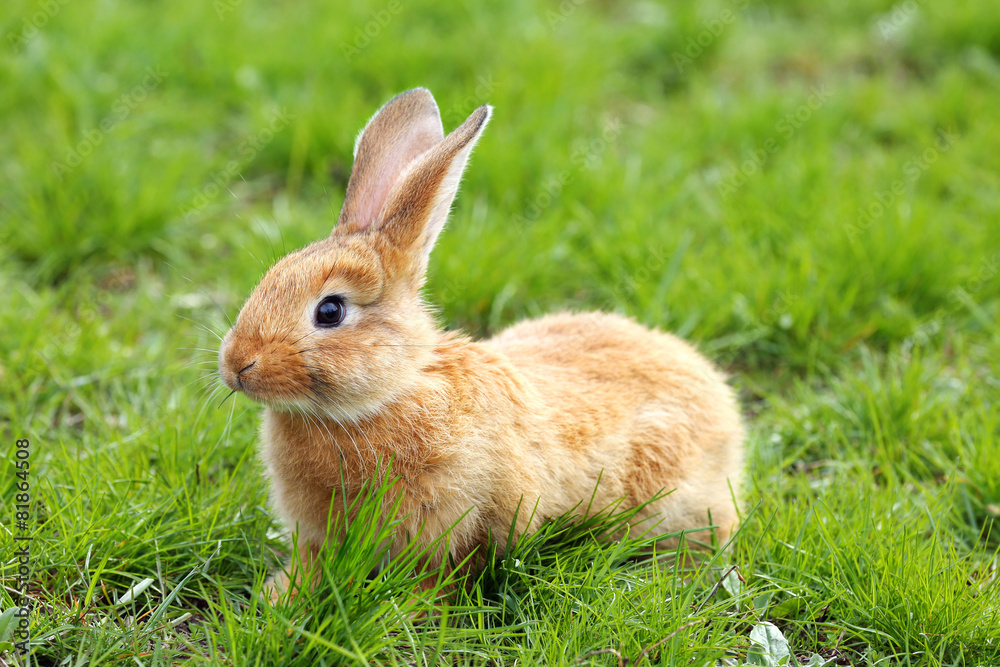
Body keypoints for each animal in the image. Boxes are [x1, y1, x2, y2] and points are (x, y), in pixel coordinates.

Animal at [217, 88, 744, 602]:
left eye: (330, 311)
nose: (236, 365)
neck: (384, 398)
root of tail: (724, 407)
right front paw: (280, 597)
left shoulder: (460, 522)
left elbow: (438, 575)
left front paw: (409, 611)